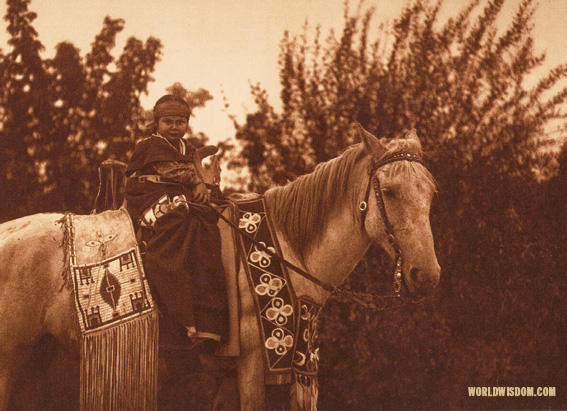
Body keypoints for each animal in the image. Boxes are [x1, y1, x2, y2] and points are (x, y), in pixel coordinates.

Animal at [0, 124, 440, 410]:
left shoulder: (234, 374)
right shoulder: (251, 365)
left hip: (35, 359)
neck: (286, 248)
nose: (426, 275)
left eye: (430, 193)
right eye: (388, 191)